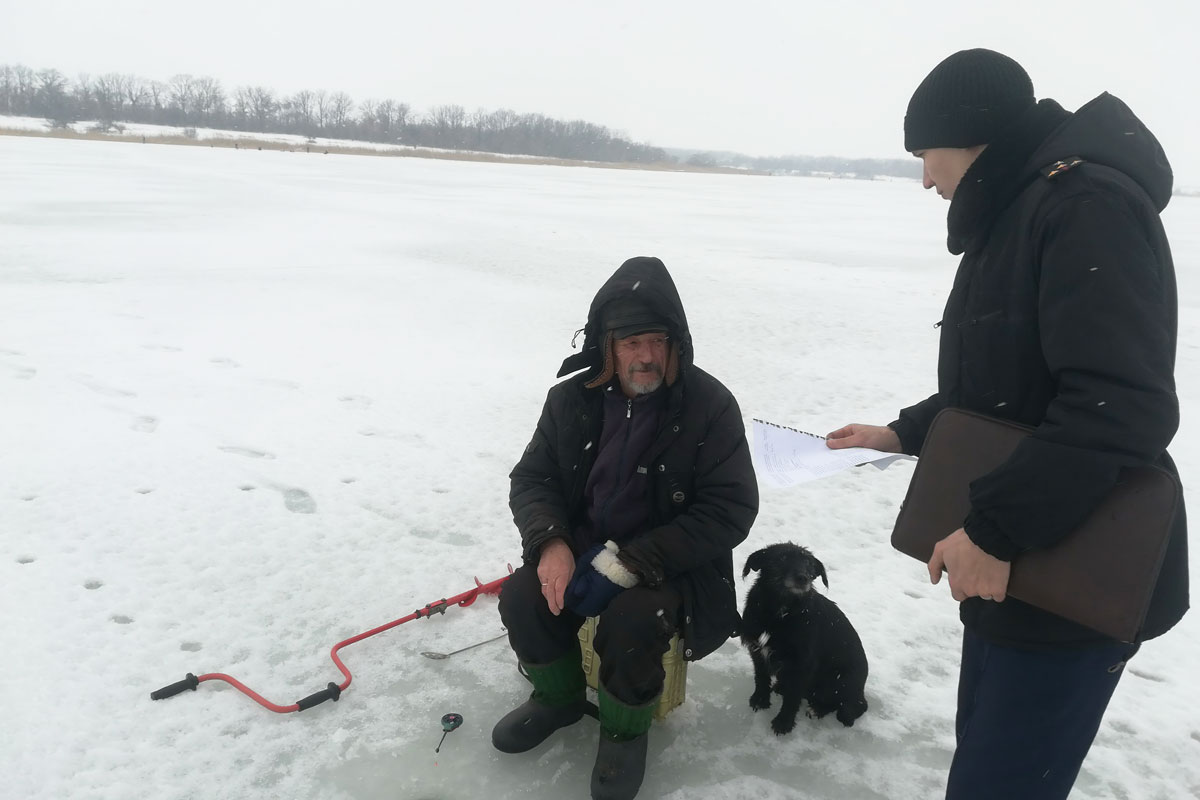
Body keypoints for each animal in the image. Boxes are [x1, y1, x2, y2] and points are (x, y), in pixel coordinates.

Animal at [734, 542, 868, 734]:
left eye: (809, 564)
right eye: (781, 558)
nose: (803, 578)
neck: (780, 612)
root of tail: (860, 693)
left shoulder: (802, 664)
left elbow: (793, 697)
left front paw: (784, 722)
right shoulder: (757, 651)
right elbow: (761, 677)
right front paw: (760, 699)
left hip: (839, 681)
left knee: (847, 705)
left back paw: (818, 709)